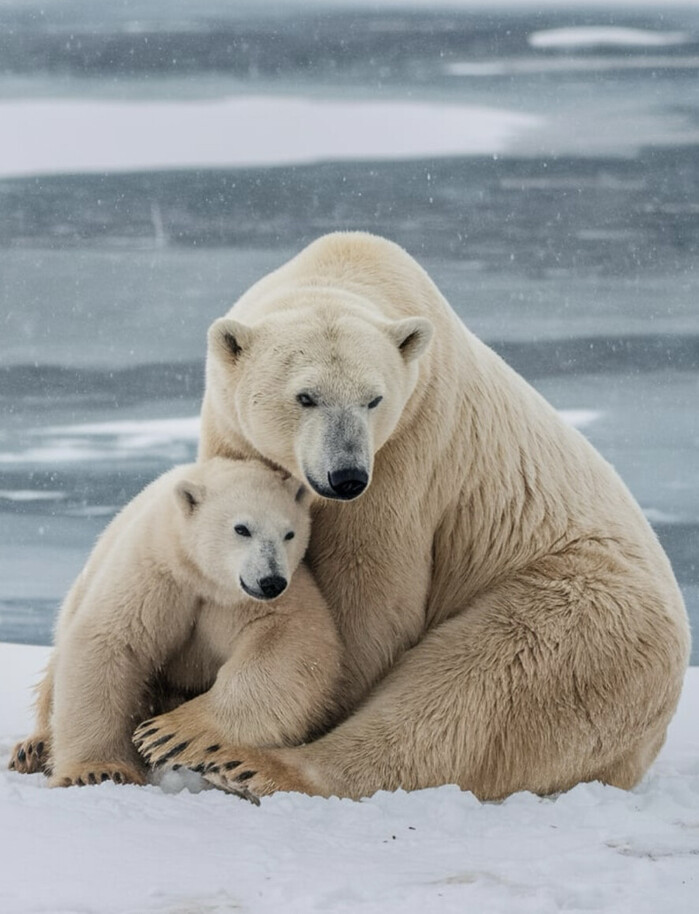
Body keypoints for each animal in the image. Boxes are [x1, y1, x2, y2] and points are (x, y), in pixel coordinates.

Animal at [9, 457, 342, 788]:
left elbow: (289, 645)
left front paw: (167, 733)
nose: (271, 581)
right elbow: (110, 642)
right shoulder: (154, 575)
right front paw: (98, 771)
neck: (198, 572)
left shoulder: (260, 597)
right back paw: (34, 748)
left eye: (290, 534)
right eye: (242, 528)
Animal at [134, 231, 690, 803]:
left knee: (479, 682)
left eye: (374, 399)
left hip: (585, 609)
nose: (346, 475)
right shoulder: (236, 434)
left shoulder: (406, 455)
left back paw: (247, 763)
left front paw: (192, 724)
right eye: (305, 396)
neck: (344, 270)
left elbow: (366, 597)